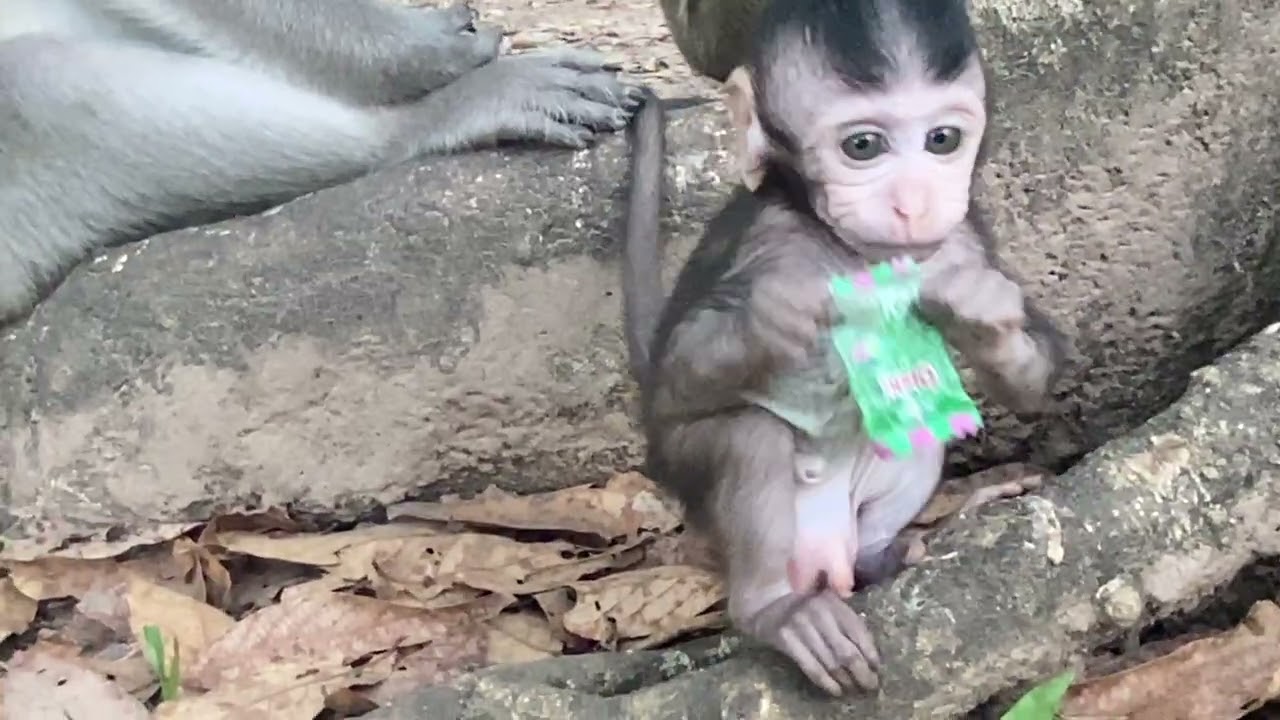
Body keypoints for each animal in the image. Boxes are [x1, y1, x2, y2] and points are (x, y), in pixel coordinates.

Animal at [621, 0, 1068, 696]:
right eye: (863, 146)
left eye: (943, 140)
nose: (914, 203)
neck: (854, 254)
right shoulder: (764, 236)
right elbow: (675, 379)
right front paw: (776, 313)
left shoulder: (963, 235)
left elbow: (1032, 370)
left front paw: (980, 311)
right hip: (688, 480)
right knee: (747, 434)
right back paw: (777, 609)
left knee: (915, 435)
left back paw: (884, 554)